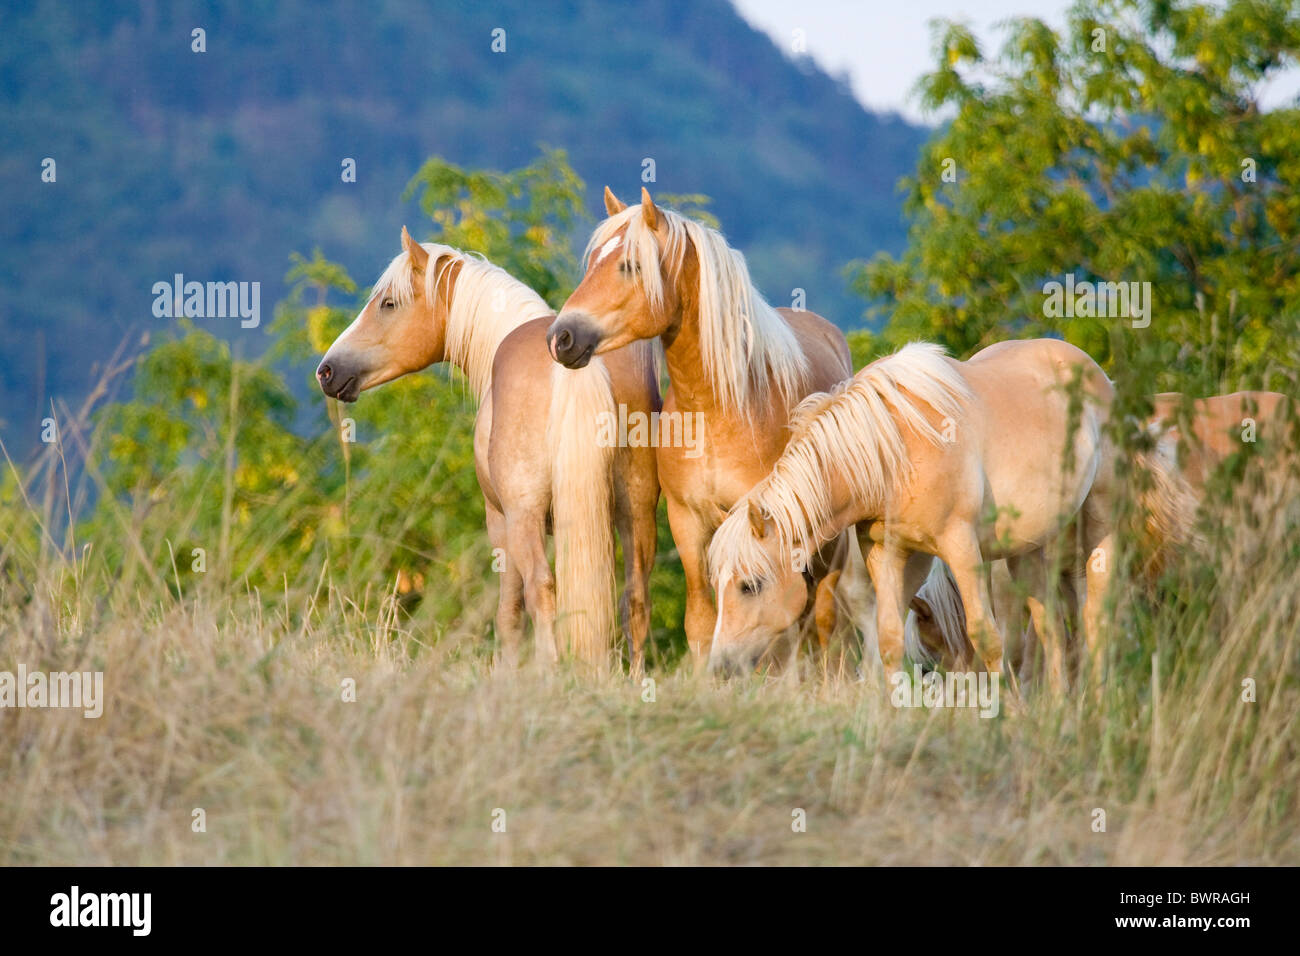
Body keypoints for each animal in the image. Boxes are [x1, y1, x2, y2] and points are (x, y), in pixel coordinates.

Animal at [316, 228, 661, 671]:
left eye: (388, 303)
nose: (327, 370)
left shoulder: (500, 520)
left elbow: (509, 612)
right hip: (636, 511)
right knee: (636, 597)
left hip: (525, 518)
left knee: (541, 588)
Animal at [545, 187, 853, 665]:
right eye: (593, 259)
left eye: (630, 265)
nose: (562, 338)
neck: (717, 411)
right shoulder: (687, 522)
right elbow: (703, 623)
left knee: (821, 619)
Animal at [705, 338, 1134, 683]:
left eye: (750, 585)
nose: (720, 667)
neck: (892, 450)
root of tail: (1097, 374)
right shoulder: (890, 554)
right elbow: (889, 639)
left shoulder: (961, 548)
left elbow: (986, 638)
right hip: (1028, 549)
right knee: (1051, 631)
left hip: (1100, 523)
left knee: (1095, 619)